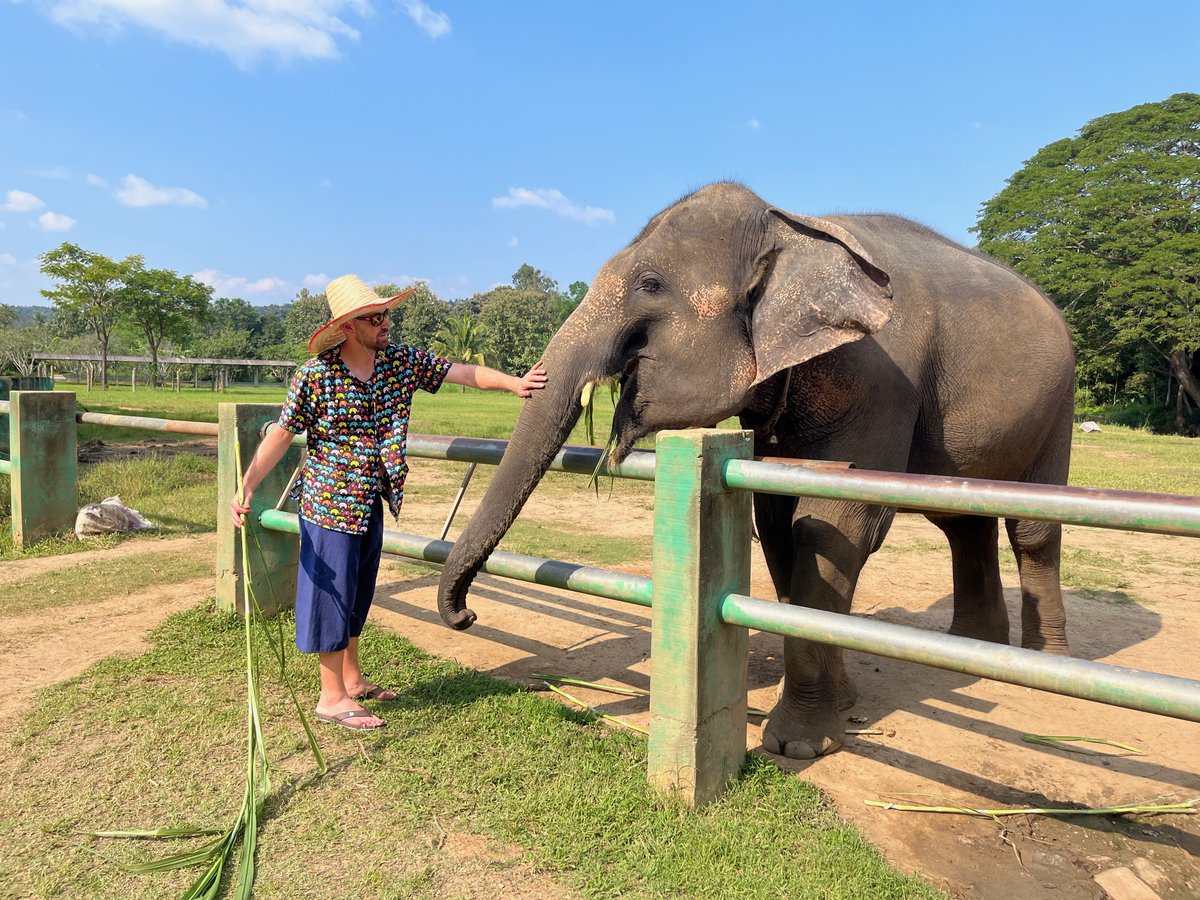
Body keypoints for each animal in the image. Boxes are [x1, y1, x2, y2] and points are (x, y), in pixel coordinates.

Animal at [437, 181, 1076, 760]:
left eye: (650, 285)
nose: (466, 614)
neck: (790, 222)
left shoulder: (883, 382)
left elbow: (833, 523)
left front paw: (798, 744)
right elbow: (775, 520)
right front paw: (842, 703)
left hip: (1060, 402)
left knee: (1032, 528)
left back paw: (1045, 669)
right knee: (962, 520)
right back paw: (975, 650)